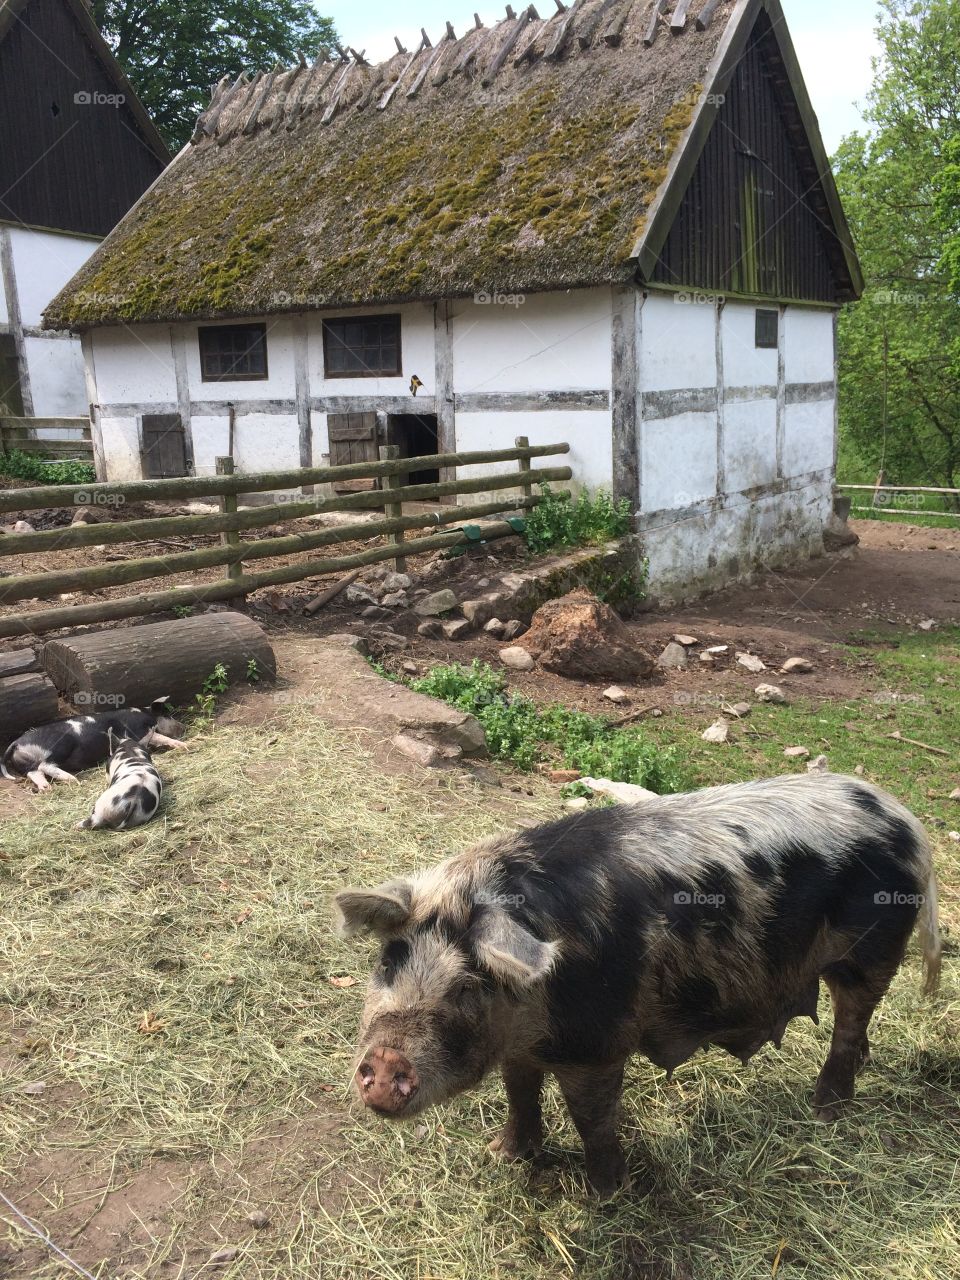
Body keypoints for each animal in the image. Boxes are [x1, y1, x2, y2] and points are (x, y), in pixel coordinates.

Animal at [1, 698, 186, 792]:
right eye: (166, 715)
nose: (183, 727)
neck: (144, 714)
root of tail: (17, 743)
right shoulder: (137, 732)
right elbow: (159, 737)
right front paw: (185, 746)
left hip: (27, 763)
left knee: (34, 771)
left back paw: (47, 788)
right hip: (62, 744)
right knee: (45, 765)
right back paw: (74, 780)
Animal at [336, 774, 942, 1198]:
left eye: (467, 986)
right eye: (388, 963)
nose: (385, 1060)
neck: (530, 1015)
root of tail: (907, 820)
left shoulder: (598, 1042)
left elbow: (593, 1120)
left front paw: (607, 1195)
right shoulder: (522, 1046)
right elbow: (520, 1093)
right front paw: (502, 1155)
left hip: (873, 949)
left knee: (850, 1019)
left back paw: (824, 1110)